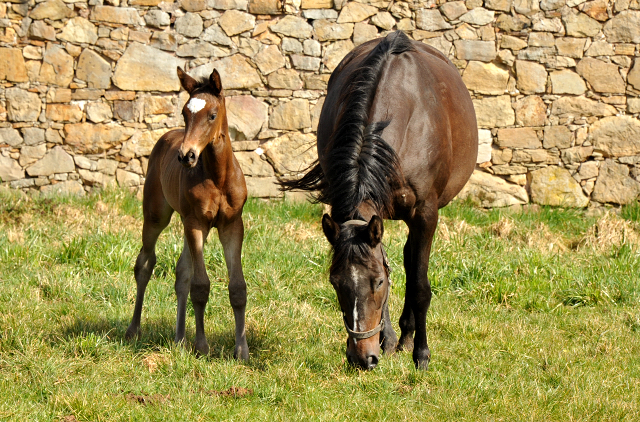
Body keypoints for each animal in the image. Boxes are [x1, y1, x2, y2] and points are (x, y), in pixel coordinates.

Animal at [124, 67, 249, 360]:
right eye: (184, 113)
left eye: (212, 115)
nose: (186, 156)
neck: (218, 177)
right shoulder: (196, 224)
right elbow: (200, 286)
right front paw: (201, 346)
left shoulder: (232, 226)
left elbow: (237, 287)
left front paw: (241, 350)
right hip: (156, 215)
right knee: (145, 263)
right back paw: (134, 330)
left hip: (184, 223)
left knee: (182, 272)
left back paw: (180, 338)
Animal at [282, 30, 478, 370]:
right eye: (335, 283)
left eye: (377, 284)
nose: (362, 357)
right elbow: (388, 263)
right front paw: (387, 340)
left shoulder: (426, 214)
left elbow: (419, 285)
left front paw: (421, 354)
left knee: (412, 261)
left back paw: (409, 338)